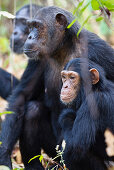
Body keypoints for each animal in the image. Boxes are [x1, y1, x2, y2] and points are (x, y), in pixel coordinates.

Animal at [0, 5, 113, 169]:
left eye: (37, 26)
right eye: (30, 27)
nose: (30, 37)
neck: (63, 48)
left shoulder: (100, 50)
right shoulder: (37, 59)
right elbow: (22, 96)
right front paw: (3, 157)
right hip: (55, 151)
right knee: (33, 110)